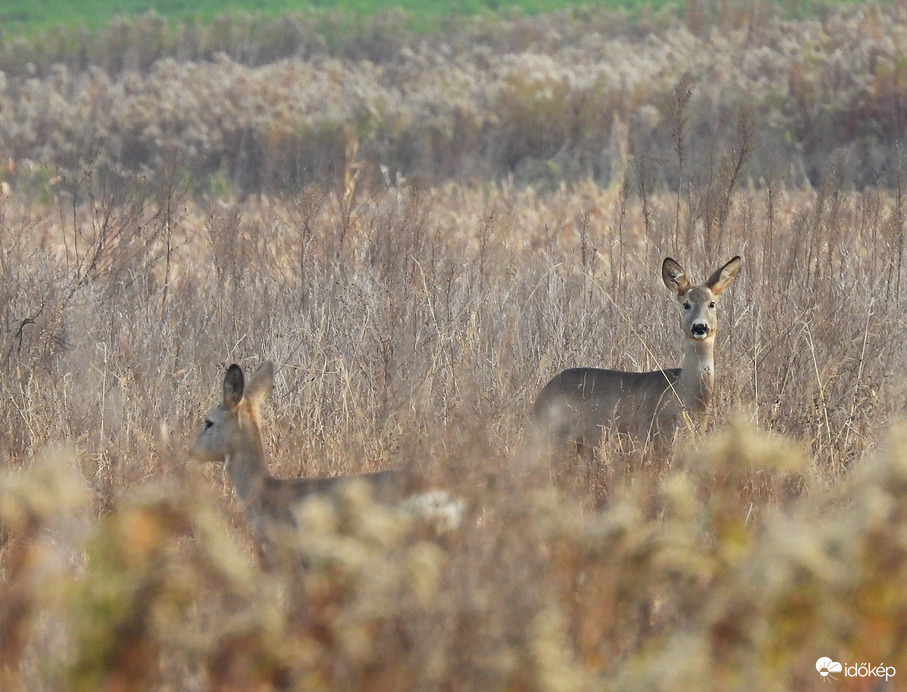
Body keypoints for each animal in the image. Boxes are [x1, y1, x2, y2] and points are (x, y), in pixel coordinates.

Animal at [536, 255, 740, 454]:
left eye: (712, 304)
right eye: (686, 304)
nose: (700, 327)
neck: (685, 394)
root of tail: (541, 397)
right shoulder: (656, 435)